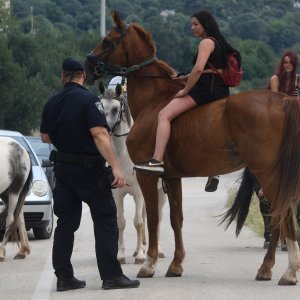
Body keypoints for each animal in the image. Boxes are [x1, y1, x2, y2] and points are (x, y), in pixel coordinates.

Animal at [101, 78, 166, 264]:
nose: (104, 128)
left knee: (156, 218)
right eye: (100, 107)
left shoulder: (138, 192)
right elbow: (121, 222)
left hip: (160, 193)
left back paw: (157, 250)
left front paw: (141, 255)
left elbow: (138, 222)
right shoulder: (117, 193)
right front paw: (121, 254)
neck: (122, 155)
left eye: (115, 109)